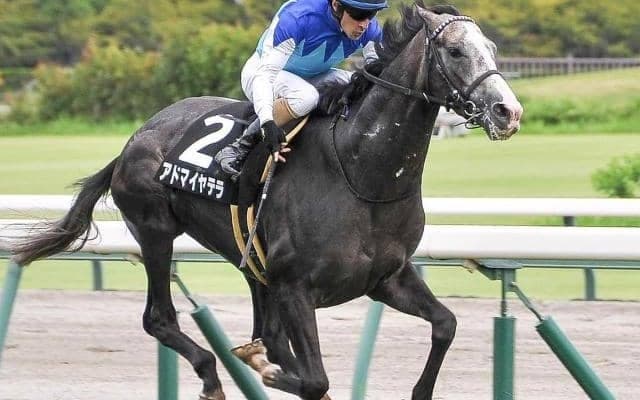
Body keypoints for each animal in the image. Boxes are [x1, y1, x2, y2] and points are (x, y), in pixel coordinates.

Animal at [12, 2, 522, 400]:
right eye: (455, 51)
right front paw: (261, 367)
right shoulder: (296, 288)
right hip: (155, 231)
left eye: (492, 49)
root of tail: (134, 140)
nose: (508, 111)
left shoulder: (387, 278)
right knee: (160, 318)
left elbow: (446, 324)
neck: (362, 174)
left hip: (251, 257)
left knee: (268, 332)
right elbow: (314, 379)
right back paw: (212, 373)